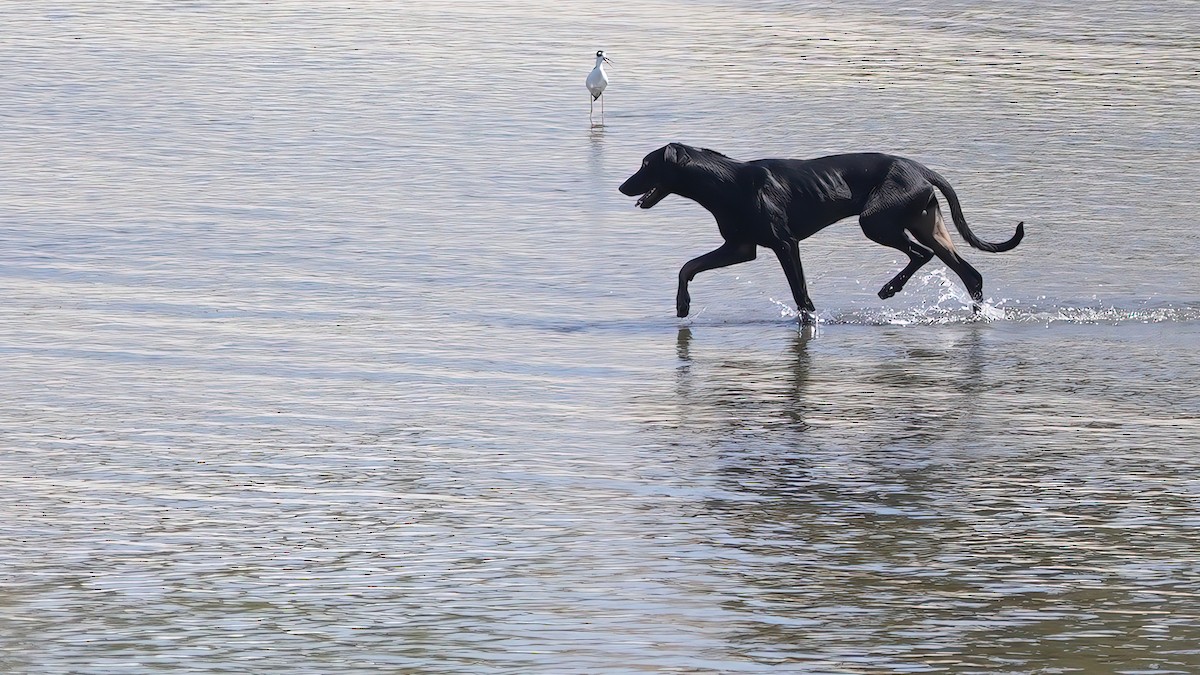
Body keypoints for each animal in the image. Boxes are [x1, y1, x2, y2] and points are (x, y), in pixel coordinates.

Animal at [619, 141, 1022, 317]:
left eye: (646, 164)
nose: (622, 187)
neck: (728, 182)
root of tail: (923, 170)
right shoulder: (741, 247)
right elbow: (687, 267)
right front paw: (682, 304)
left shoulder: (785, 244)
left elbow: (801, 295)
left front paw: (810, 319)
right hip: (926, 225)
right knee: (970, 274)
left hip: (876, 222)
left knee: (920, 255)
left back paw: (890, 289)